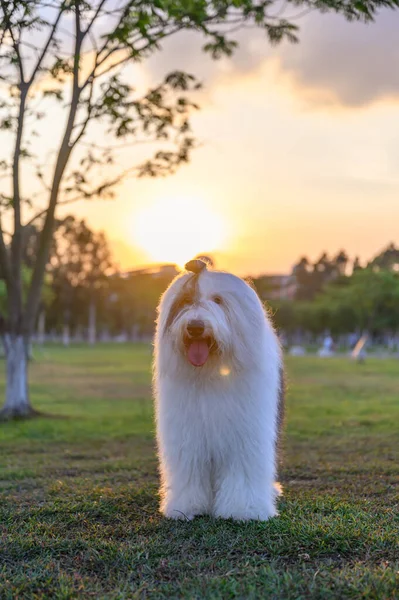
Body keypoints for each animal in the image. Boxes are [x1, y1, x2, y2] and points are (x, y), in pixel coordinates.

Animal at [153, 258, 284, 520]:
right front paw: (186, 507)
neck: (210, 372)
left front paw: (244, 510)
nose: (195, 327)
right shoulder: (188, 438)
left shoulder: (245, 436)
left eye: (218, 300)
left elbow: (243, 471)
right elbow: (189, 471)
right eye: (185, 300)